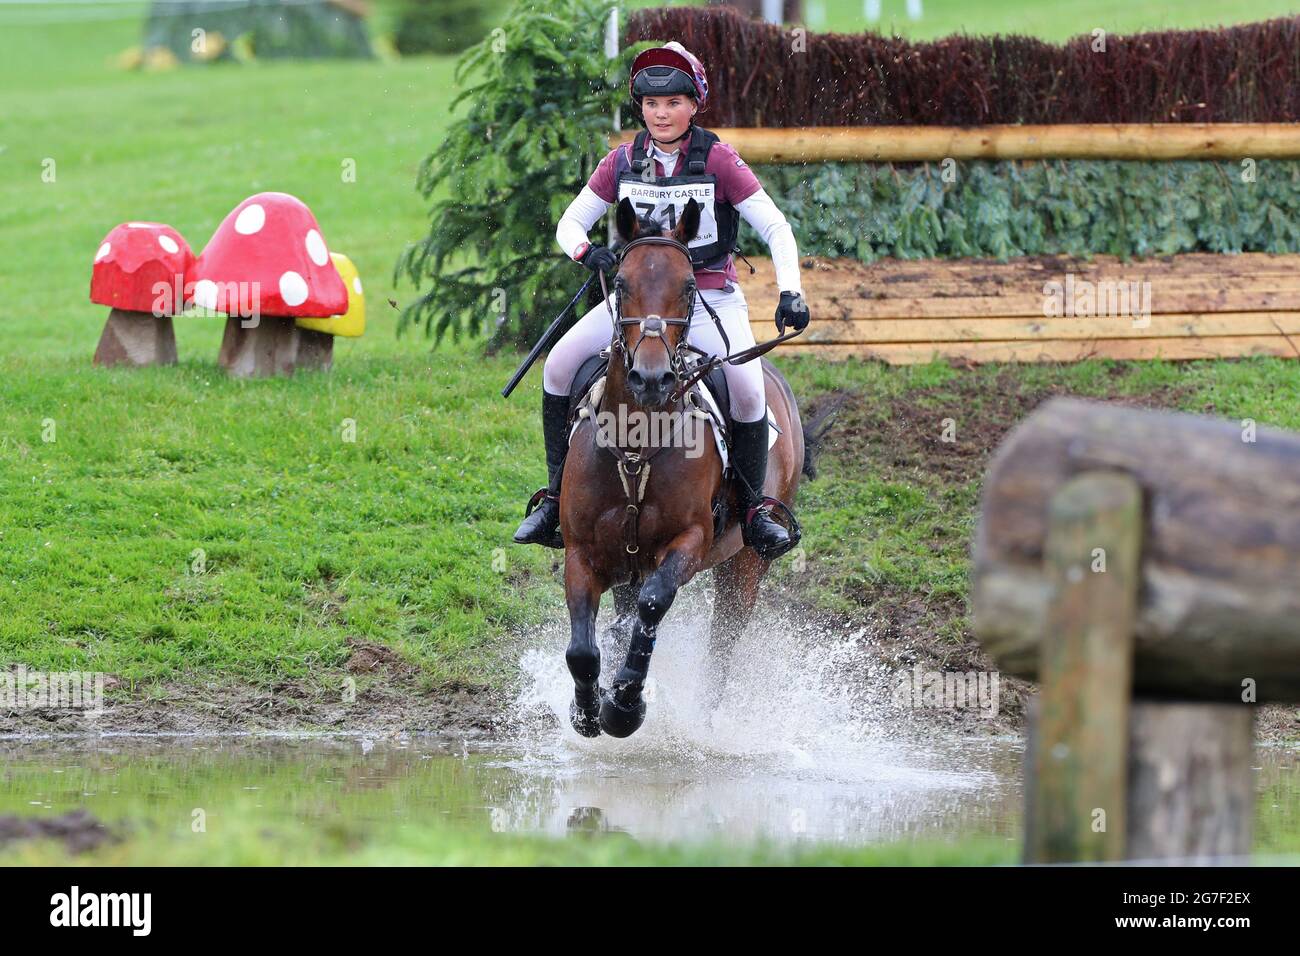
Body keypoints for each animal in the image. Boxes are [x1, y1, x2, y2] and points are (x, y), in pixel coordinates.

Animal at [559, 196, 811, 738]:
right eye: (621, 282)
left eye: (690, 285)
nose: (651, 379)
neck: (637, 446)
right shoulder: (583, 551)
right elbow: (583, 648)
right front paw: (588, 711)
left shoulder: (690, 542)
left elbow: (654, 605)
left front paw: (624, 707)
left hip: (745, 565)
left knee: (721, 648)